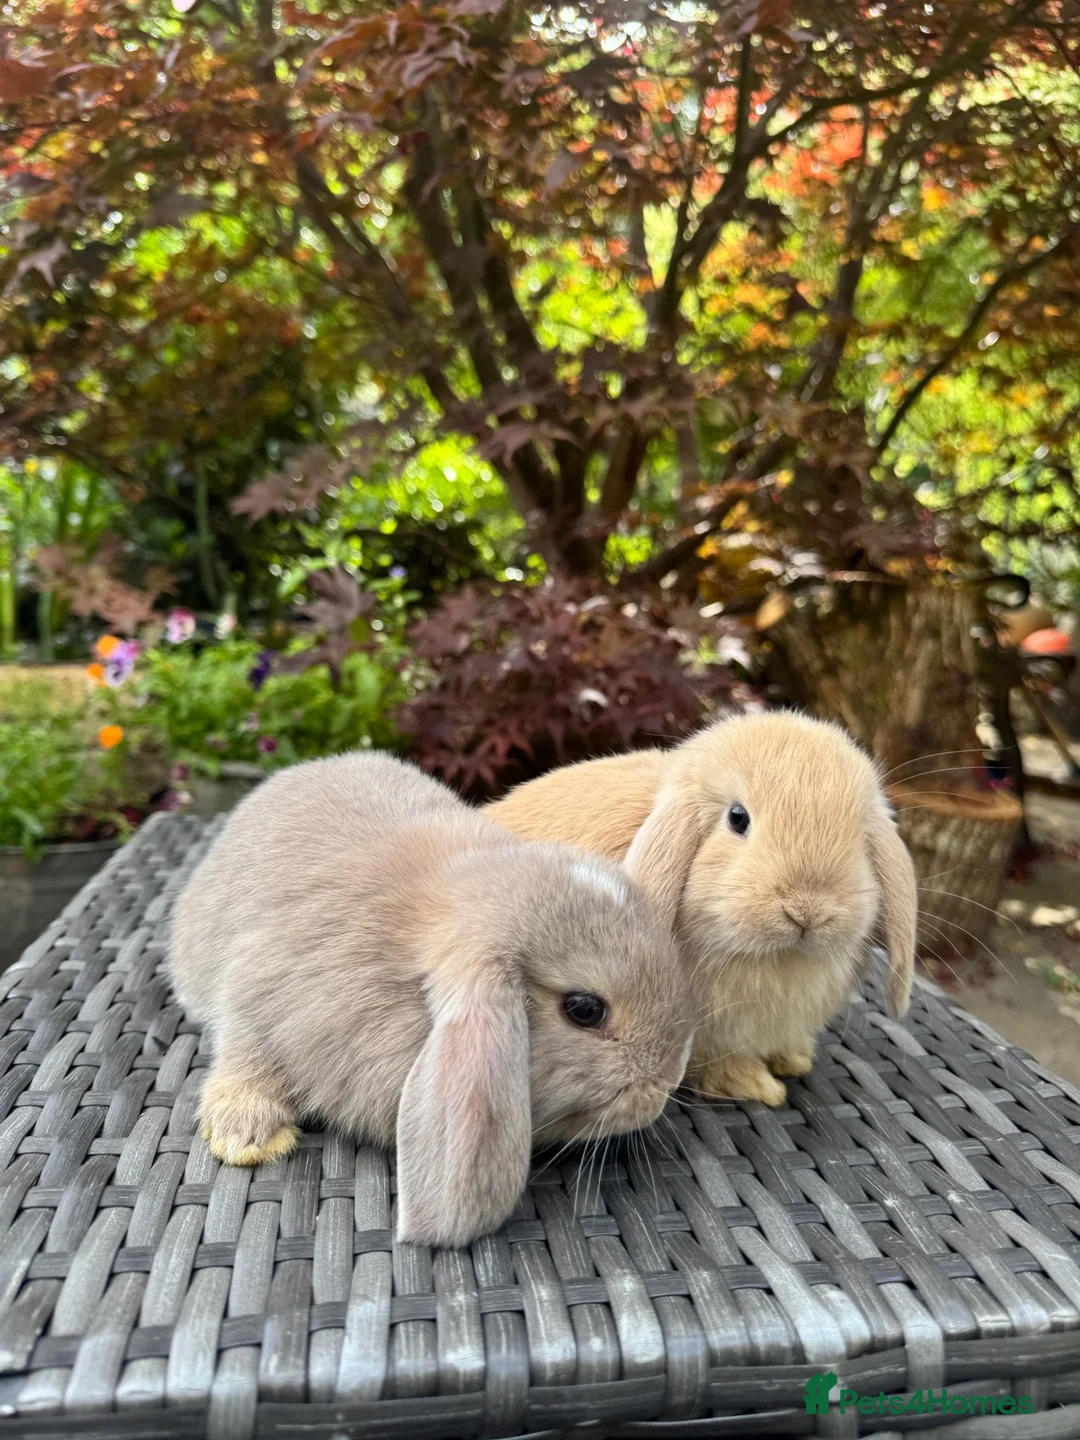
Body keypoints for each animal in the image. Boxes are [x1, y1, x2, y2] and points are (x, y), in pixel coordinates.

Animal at [489, 711, 917, 1108]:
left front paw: (794, 1058)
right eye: (737, 818)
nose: (807, 910)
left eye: (860, 835)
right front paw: (758, 1086)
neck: (775, 959)